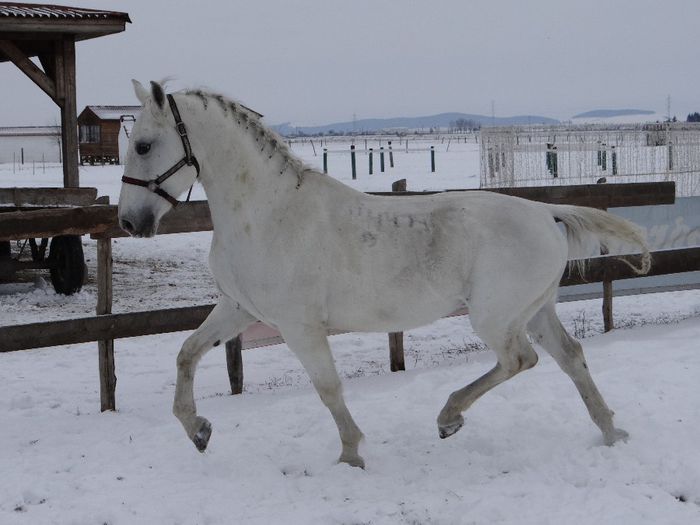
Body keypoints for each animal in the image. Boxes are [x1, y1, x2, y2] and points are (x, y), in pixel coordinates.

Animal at [117, 82, 648, 466]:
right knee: (570, 357)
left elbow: (328, 388)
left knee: (520, 360)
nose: (129, 222)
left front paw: (351, 455)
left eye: (143, 145)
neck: (269, 215)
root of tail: (545, 213)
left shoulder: (299, 326)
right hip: (535, 310)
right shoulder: (239, 309)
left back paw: (449, 417)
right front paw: (198, 430)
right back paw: (611, 431)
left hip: (496, 318)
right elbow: (186, 353)